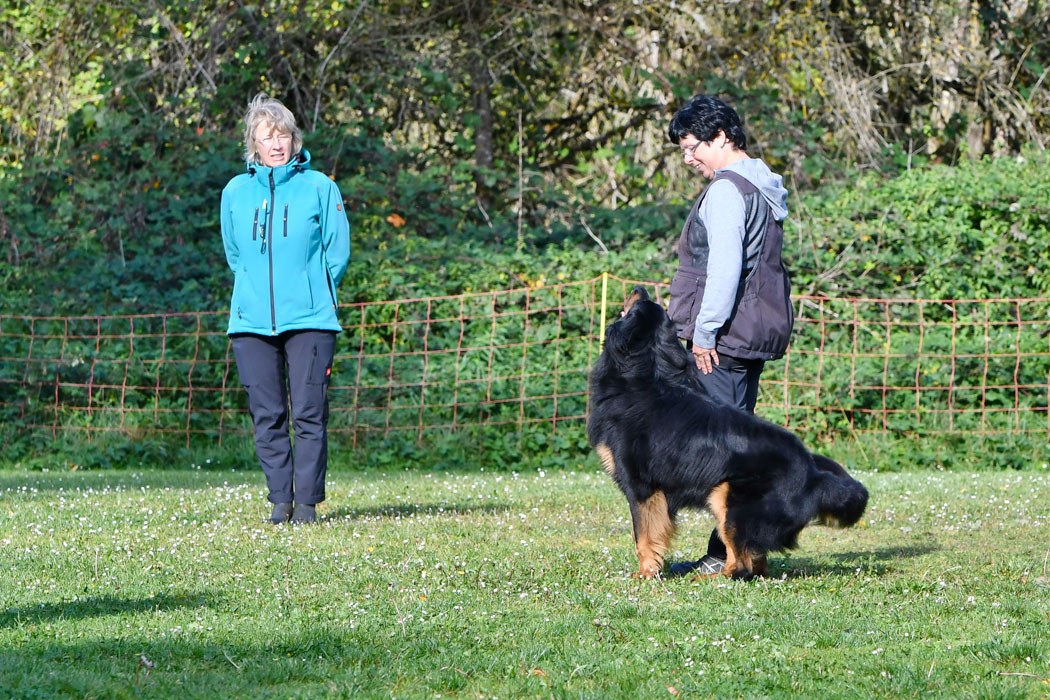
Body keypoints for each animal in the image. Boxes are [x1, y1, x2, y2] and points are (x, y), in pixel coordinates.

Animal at [588, 285, 865, 579]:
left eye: (636, 307)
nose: (639, 287)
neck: (643, 377)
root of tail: (813, 473)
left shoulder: (641, 486)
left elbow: (643, 535)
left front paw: (645, 574)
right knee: (756, 563)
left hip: (727, 496)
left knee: (741, 566)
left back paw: (705, 578)